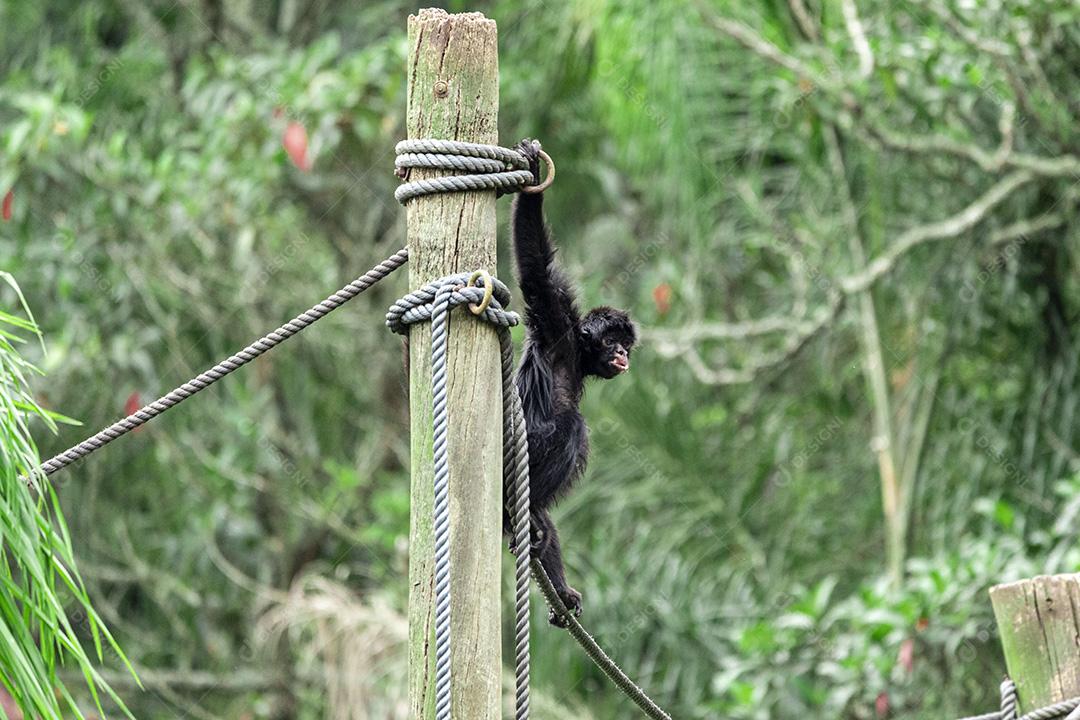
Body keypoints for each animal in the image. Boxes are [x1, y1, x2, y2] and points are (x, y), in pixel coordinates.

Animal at [507, 139, 637, 627]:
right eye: (613, 341)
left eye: (626, 344)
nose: (622, 355)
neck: (577, 355)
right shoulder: (555, 323)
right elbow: (536, 274)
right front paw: (530, 174)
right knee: (573, 427)